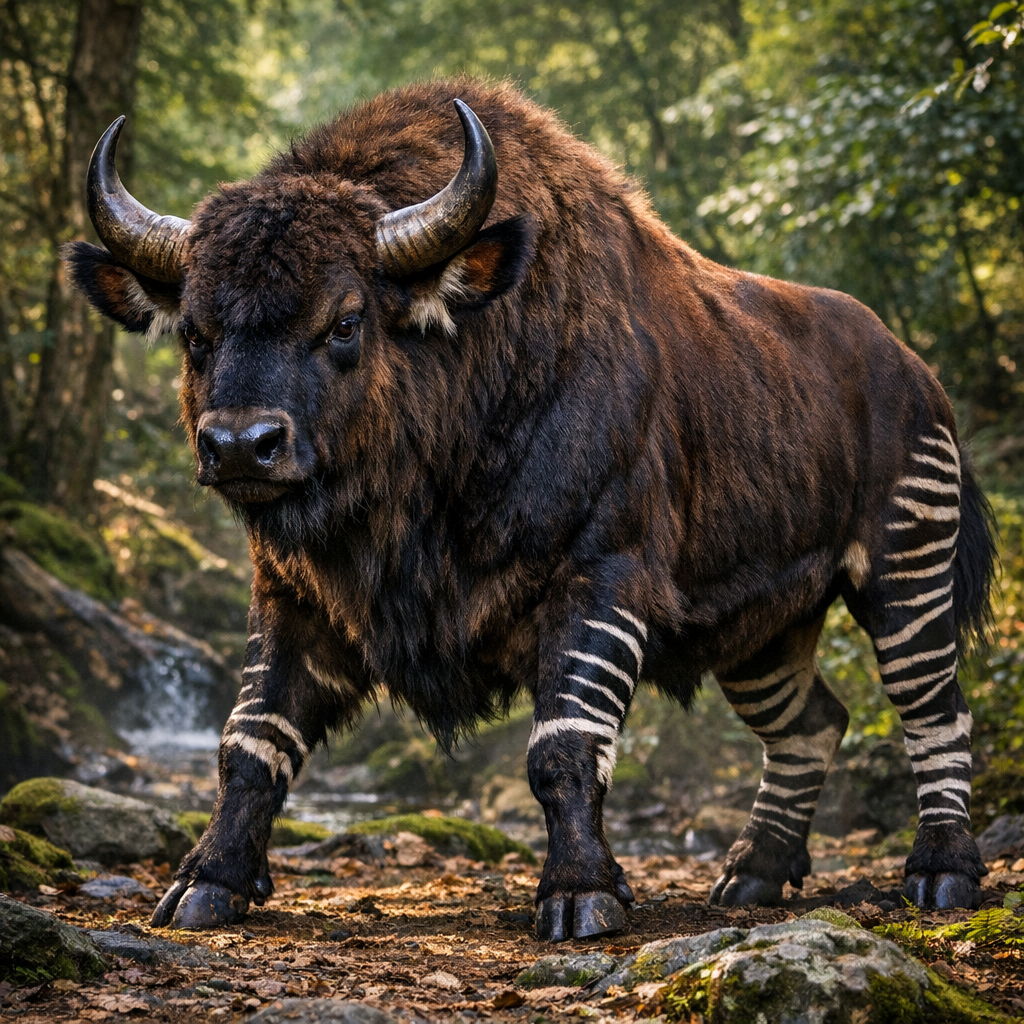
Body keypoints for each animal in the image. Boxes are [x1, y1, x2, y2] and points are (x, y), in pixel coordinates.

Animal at [67, 78, 994, 941]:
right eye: (194, 331)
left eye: (347, 321)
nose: (240, 446)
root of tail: (920, 376)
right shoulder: (297, 599)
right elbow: (250, 742)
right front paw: (206, 882)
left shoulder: (596, 582)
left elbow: (566, 746)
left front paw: (581, 894)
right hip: (764, 633)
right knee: (811, 724)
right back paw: (753, 874)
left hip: (903, 578)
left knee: (934, 709)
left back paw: (942, 872)